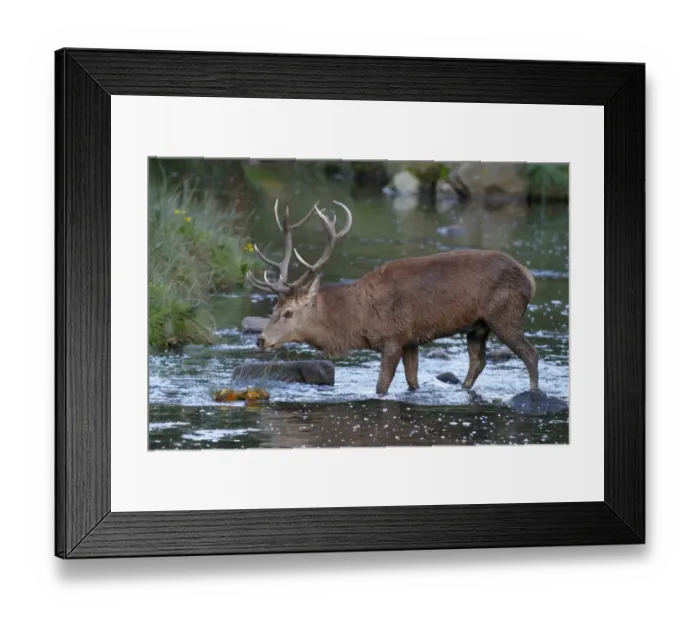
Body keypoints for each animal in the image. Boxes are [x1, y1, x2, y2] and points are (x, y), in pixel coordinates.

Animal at [245, 199, 539, 396]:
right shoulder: (411, 340)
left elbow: (381, 387)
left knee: (530, 353)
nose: (261, 340)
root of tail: (530, 278)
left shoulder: (393, 338)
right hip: (478, 326)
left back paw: (535, 392)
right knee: (478, 361)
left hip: (505, 313)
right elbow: (412, 381)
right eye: (273, 308)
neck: (359, 319)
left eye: (289, 312)